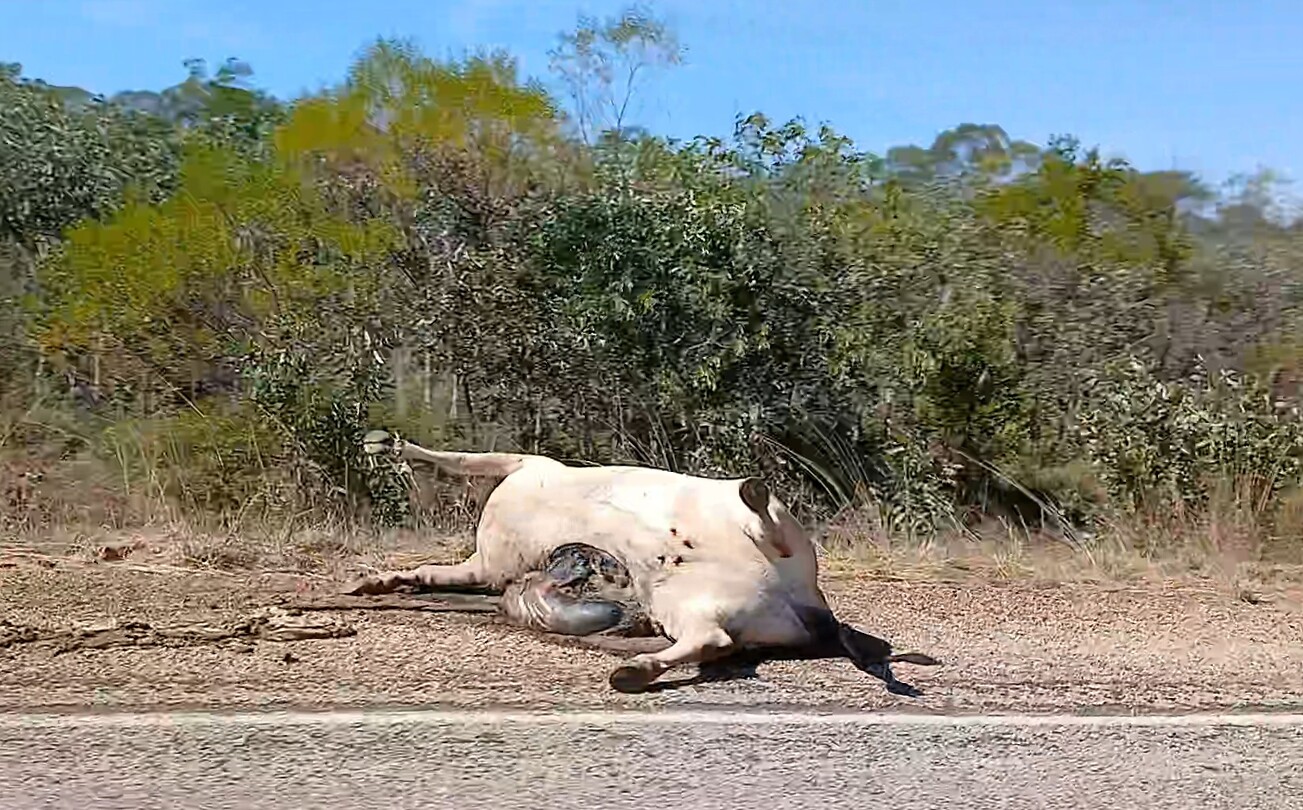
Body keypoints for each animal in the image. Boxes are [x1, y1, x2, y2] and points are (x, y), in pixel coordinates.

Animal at [343, 429, 940, 694]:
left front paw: (388, 444)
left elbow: (454, 456)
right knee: (712, 640)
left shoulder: (522, 462)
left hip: (757, 540)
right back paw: (637, 670)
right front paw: (378, 582)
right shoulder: (485, 567)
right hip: (686, 603)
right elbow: (428, 571)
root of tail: (811, 605)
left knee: (767, 526)